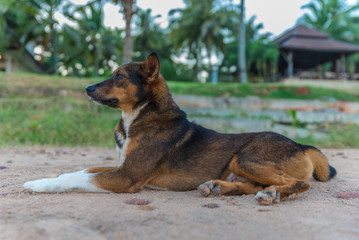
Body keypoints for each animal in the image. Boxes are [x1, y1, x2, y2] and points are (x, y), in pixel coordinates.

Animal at [23, 52, 338, 204]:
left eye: (119, 77)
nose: (87, 88)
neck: (138, 116)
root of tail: (302, 146)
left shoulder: (127, 176)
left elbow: (76, 179)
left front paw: (38, 184)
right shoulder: (122, 165)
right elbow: (77, 171)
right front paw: (44, 177)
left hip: (246, 157)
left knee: (298, 183)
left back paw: (273, 194)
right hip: (241, 165)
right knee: (251, 186)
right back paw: (218, 187)